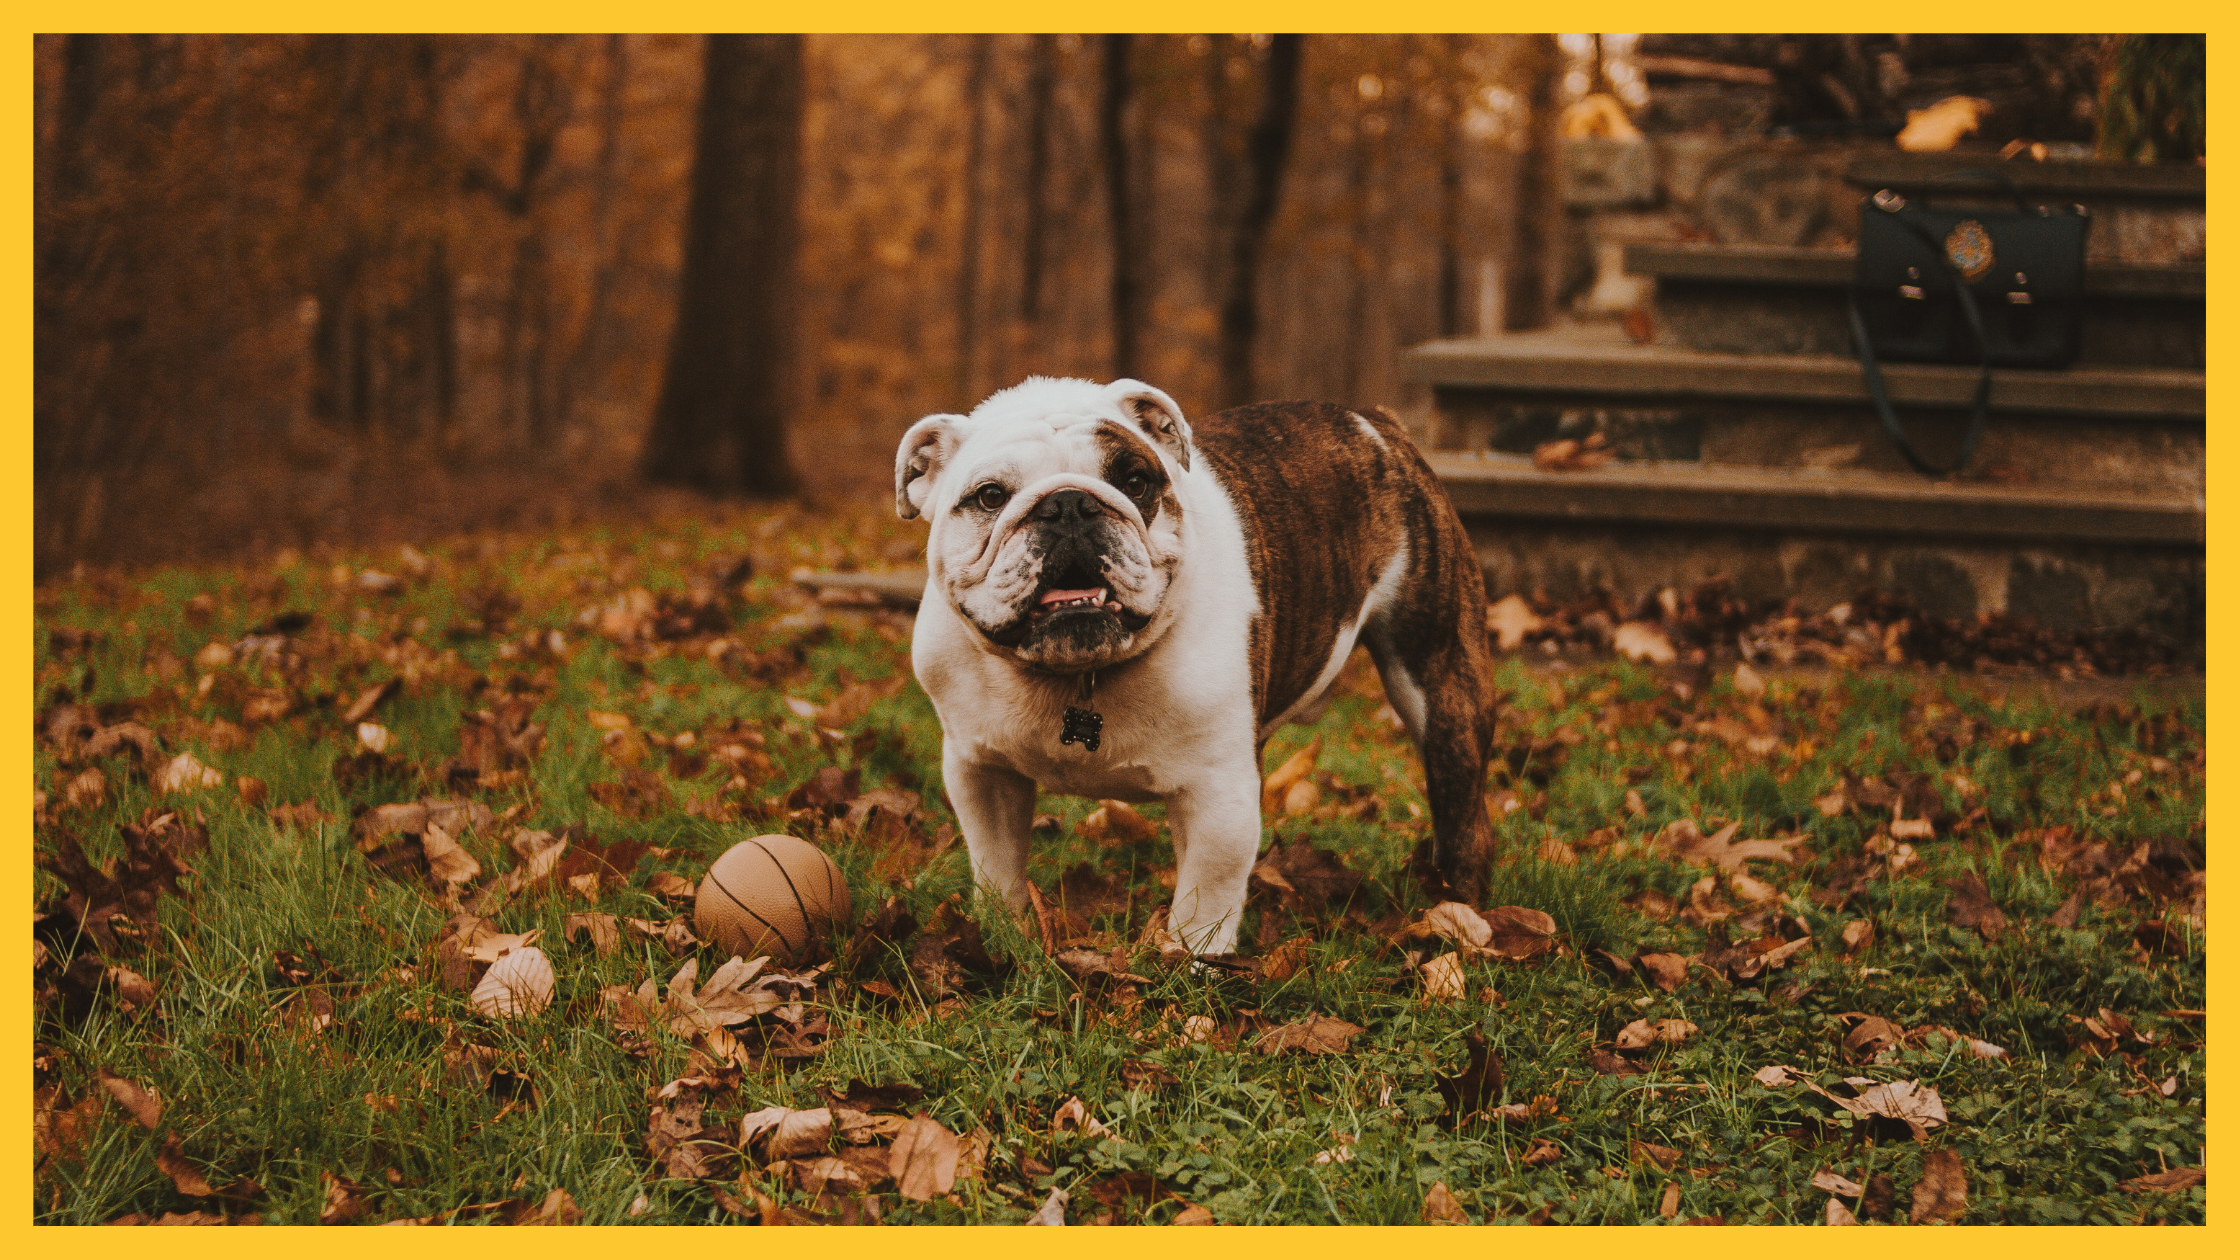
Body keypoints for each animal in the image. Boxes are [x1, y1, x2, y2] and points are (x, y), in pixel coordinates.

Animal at [882, 372, 1496, 950]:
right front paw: (1000, 934)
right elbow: (997, 864)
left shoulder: (1219, 796)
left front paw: (1188, 964)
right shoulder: (980, 771)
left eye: (1135, 481)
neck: (1076, 676)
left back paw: (1461, 915)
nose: (1068, 504)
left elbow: (1206, 898)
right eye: (989, 496)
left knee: (1464, 814)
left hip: (1440, 683)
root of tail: (1374, 423)